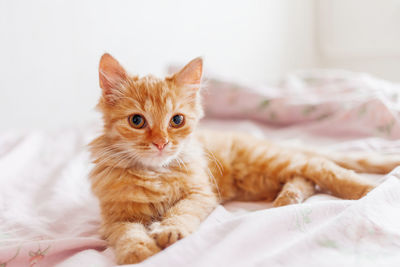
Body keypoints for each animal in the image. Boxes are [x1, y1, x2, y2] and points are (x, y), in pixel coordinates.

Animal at [89, 53, 398, 264]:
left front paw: (170, 231)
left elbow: (181, 212)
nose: (161, 143)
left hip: (267, 163)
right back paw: (289, 199)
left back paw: (370, 190)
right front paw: (139, 251)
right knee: (304, 178)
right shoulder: (116, 216)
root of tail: (259, 140)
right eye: (137, 121)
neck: (156, 173)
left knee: (319, 167)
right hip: (259, 181)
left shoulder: (200, 193)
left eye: (176, 120)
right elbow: (127, 234)